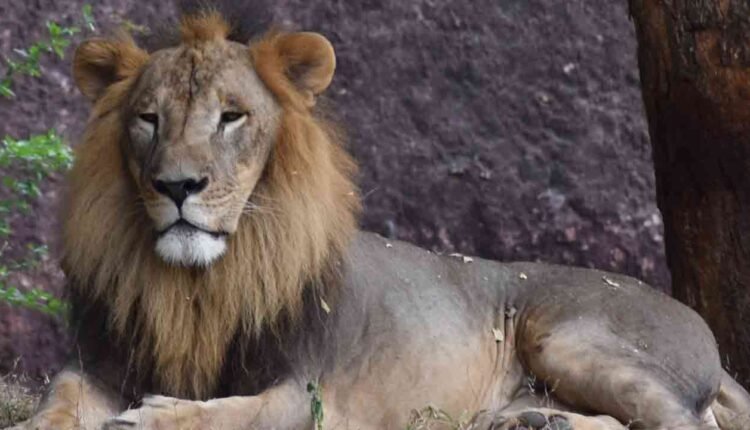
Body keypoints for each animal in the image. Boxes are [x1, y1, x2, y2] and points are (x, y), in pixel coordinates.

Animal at [7, 4, 750, 430]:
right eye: (148, 119)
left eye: (231, 116)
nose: (178, 185)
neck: (198, 286)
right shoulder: (105, 363)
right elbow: (60, 396)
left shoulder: (313, 392)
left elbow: (239, 414)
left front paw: (153, 418)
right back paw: (535, 423)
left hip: (569, 336)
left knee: (686, 424)